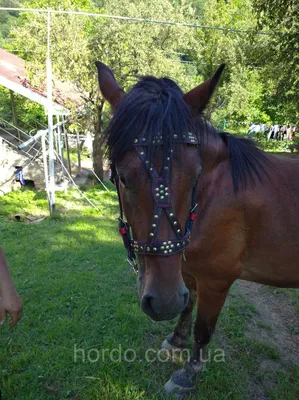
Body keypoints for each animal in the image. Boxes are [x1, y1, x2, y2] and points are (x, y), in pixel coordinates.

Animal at [96, 61, 299, 396]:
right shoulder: (187, 271)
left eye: (195, 175)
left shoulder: (217, 281)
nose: (162, 303)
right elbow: (186, 306)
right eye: (122, 177)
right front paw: (176, 340)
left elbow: (203, 330)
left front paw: (188, 374)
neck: (215, 194)